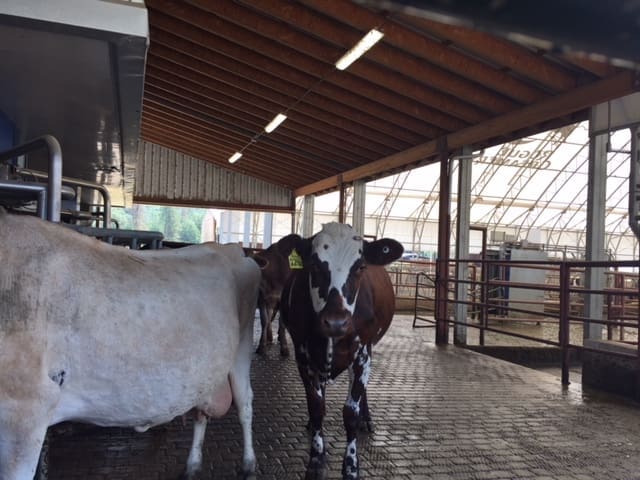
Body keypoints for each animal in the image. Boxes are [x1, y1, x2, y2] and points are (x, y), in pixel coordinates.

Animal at [0, 209, 260, 480]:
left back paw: (248, 464)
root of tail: (230, 249)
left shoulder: (26, 411)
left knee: (245, 404)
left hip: (242, 349)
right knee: (201, 411)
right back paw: (192, 466)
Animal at [280, 222, 403, 480]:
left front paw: (351, 466)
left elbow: (350, 413)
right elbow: (316, 406)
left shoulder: (362, 355)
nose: (336, 322)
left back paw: (367, 419)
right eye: (314, 265)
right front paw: (316, 462)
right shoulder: (303, 355)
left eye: (360, 267)